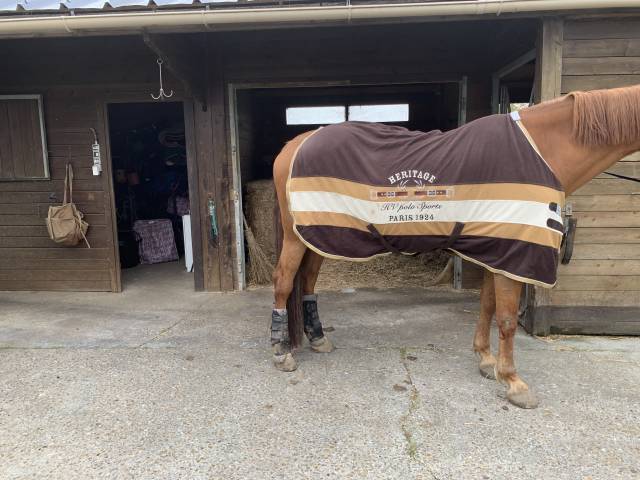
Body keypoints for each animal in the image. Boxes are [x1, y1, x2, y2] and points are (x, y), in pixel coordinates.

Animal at [269, 85, 640, 409]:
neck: (542, 149)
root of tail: (296, 144)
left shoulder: (499, 251)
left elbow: (488, 307)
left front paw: (487, 361)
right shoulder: (514, 253)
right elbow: (507, 319)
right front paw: (514, 383)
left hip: (318, 236)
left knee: (308, 282)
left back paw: (317, 338)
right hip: (296, 237)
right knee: (284, 281)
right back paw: (280, 351)